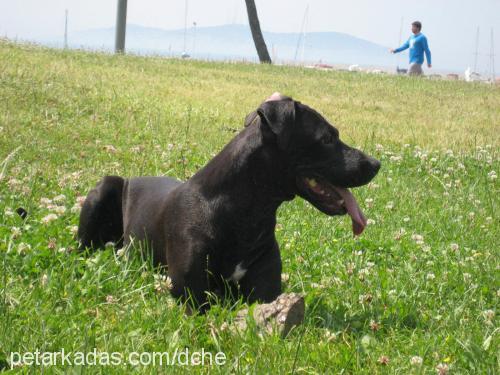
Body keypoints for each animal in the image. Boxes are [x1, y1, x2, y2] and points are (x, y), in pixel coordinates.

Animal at [79, 94, 378, 312]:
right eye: (326, 138)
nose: (376, 164)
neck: (246, 212)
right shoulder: (191, 295)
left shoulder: (266, 294)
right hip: (103, 188)